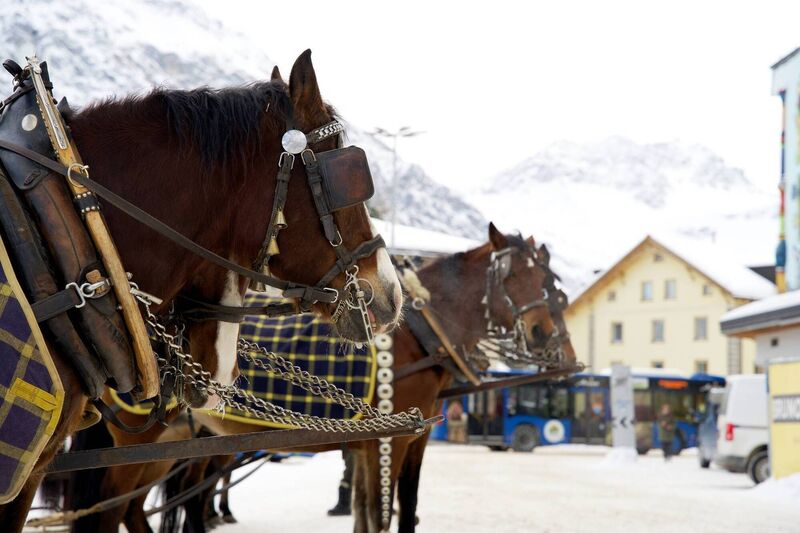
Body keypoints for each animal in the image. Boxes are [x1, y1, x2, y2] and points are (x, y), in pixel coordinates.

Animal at [115, 223, 575, 533]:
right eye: (513, 276)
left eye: (546, 281)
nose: (544, 334)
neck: (418, 337)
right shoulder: (388, 439)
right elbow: (381, 514)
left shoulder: (407, 438)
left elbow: (391, 509)